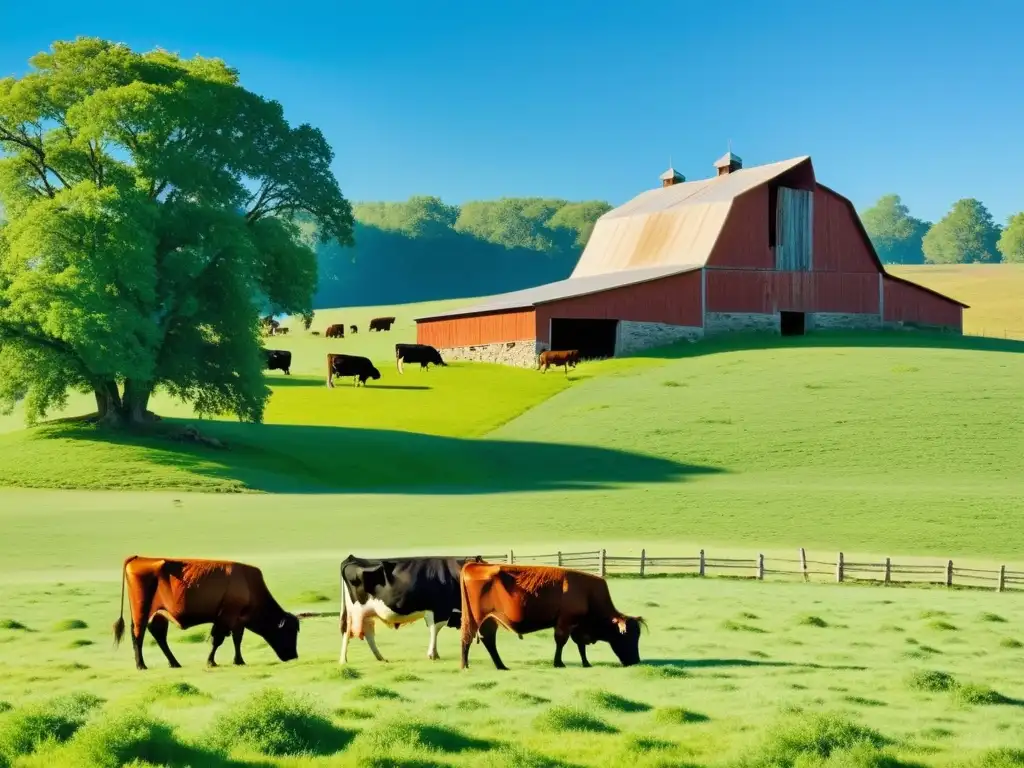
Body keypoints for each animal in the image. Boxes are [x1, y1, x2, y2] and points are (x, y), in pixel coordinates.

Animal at [111, 557, 299, 671]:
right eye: (288, 632)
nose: (294, 656)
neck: (249, 584)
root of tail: (139, 558)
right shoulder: (225, 618)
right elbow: (217, 640)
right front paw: (211, 662)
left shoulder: (238, 621)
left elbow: (237, 640)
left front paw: (239, 660)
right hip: (142, 613)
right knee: (138, 635)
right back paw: (141, 665)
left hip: (159, 615)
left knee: (159, 636)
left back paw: (174, 663)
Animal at [337, 557, 485, 663]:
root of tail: (352, 559)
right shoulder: (440, 609)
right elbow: (435, 629)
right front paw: (432, 654)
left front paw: (434, 653)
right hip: (354, 611)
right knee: (347, 631)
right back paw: (343, 660)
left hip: (367, 612)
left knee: (368, 632)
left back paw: (380, 658)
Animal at [460, 561, 643, 671]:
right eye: (626, 635)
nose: (635, 661)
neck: (589, 594)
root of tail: (474, 564)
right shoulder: (565, 623)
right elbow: (561, 642)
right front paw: (559, 663)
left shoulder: (577, 627)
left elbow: (580, 646)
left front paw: (586, 663)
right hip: (475, 619)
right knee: (467, 638)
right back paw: (465, 665)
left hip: (490, 620)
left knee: (488, 639)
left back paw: (501, 666)